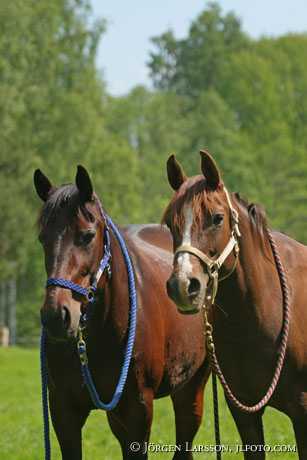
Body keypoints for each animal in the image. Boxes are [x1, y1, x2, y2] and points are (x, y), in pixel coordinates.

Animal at [34, 166, 212, 460]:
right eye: (42, 238)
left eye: (87, 235)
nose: (56, 316)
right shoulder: (63, 410)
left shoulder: (138, 410)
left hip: (191, 387)